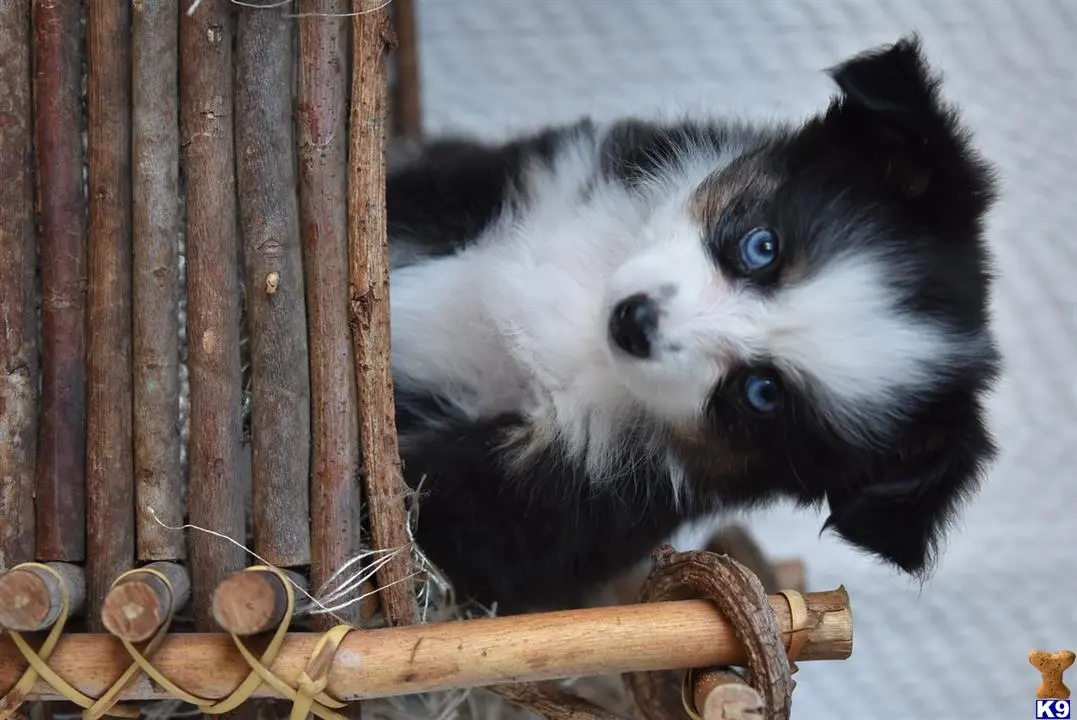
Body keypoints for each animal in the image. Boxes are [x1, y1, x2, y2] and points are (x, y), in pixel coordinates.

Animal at [387, 36, 999, 615]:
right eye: (761, 246)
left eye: (762, 393)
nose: (633, 323)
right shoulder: (520, 179)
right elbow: (407, 211)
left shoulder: (547, 500)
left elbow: (431, 498)